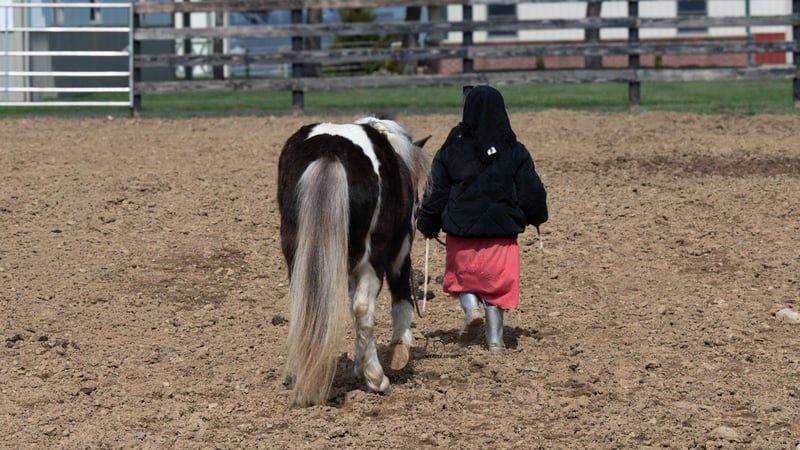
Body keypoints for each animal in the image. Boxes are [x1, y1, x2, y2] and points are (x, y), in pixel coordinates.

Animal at [277, 116, 430, 407]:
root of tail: (329, 152)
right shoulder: (400, 252)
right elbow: (400, 300)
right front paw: (399, 349)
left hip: (298, 255)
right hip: (374, 259)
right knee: (364, 310)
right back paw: (377, 379)